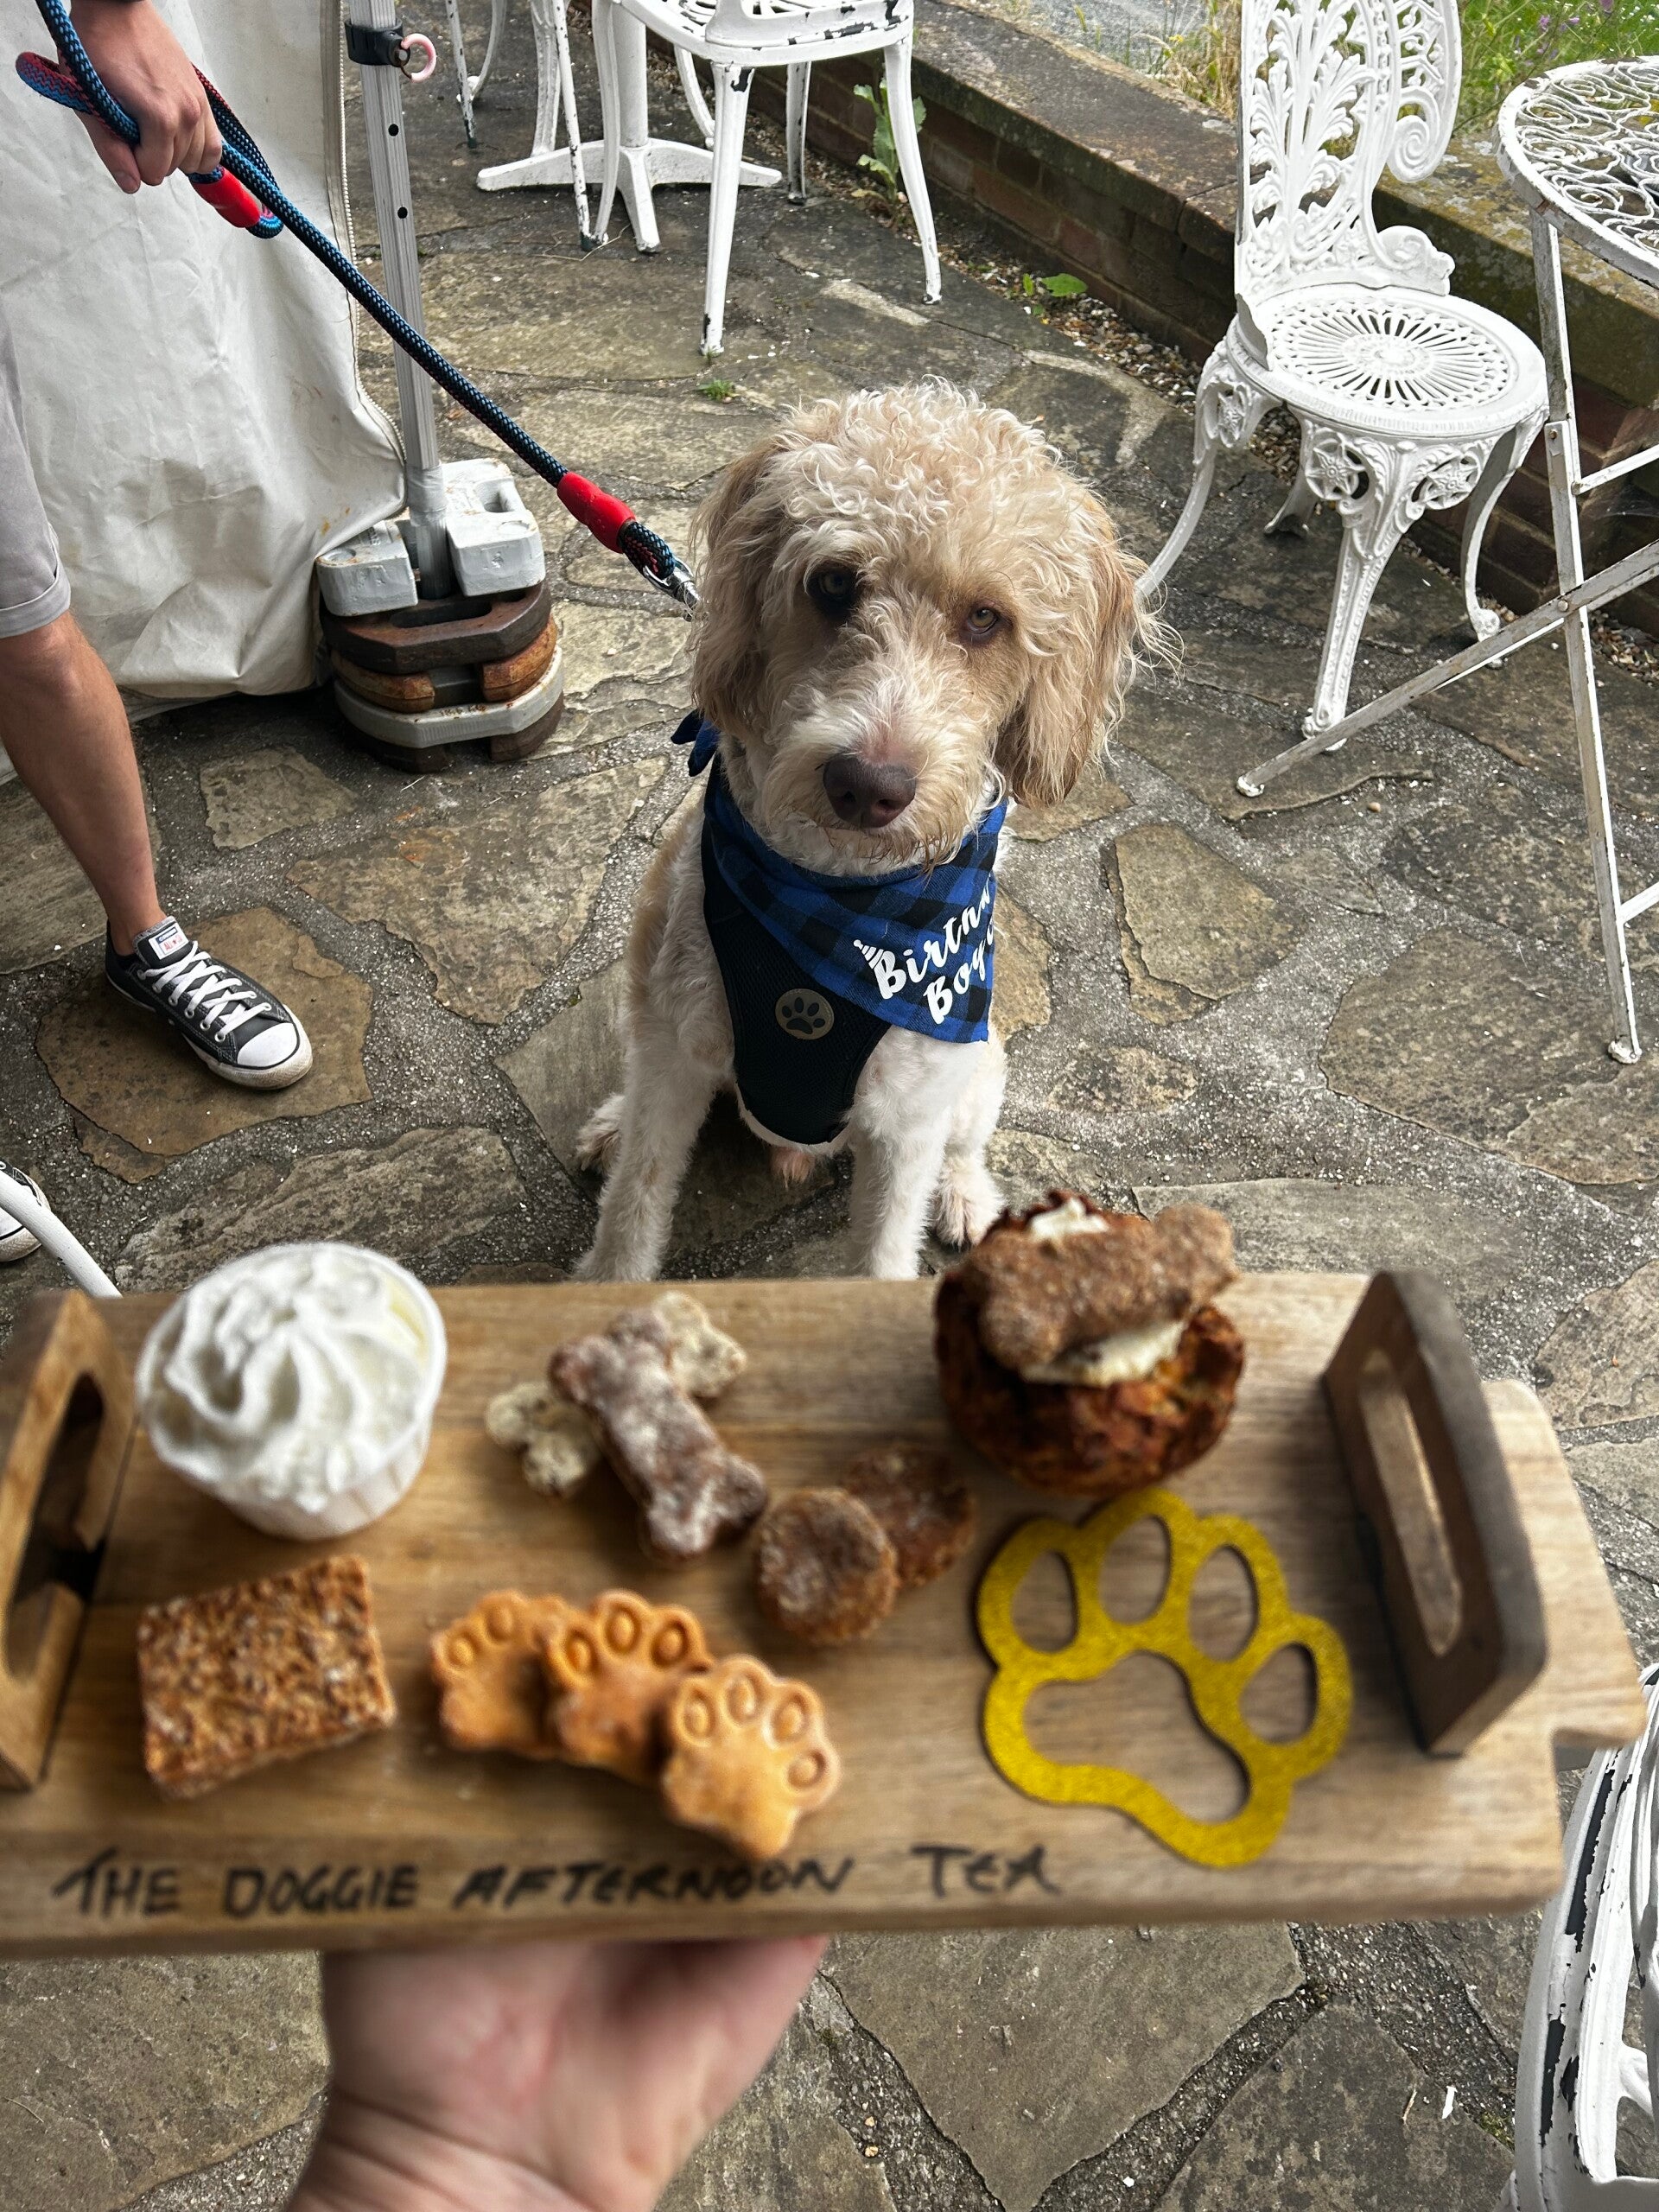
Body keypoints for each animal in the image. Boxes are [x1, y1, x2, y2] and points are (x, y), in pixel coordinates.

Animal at [574, 382, 1153, 1282]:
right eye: (834, 583)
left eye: (985, 618)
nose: (869, 787)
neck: (840, 910)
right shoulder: (675, 1053)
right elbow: (633, 1208)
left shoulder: (909, 1115)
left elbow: (884, 1251)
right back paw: (610, 1118)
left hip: (980, 1070)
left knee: (966, 1147)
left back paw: (966, 1196)